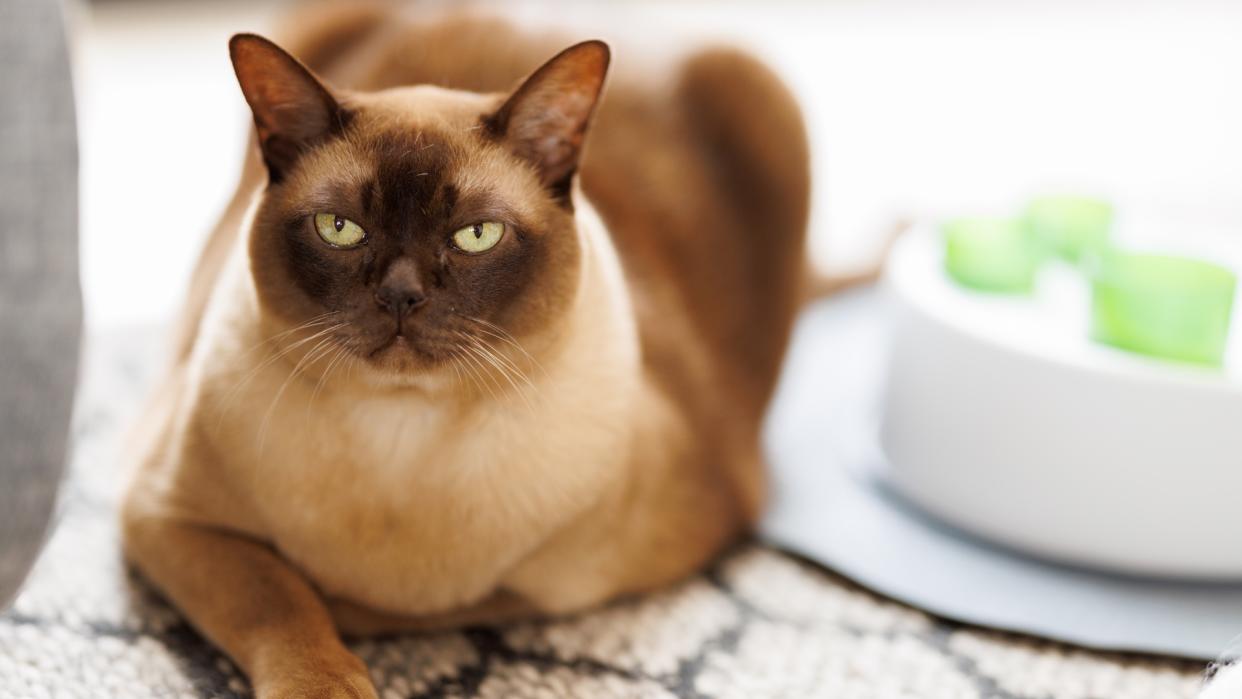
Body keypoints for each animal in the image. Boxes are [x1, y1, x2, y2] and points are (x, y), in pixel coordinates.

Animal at [123, 5, 814, 699]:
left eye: (476, 236)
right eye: (340, 229)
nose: (401, 296)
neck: (401, 430)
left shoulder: (577, 578)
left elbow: (404, 604)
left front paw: (349, 609)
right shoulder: (164, 515)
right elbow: (280, 601)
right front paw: (329, 677)